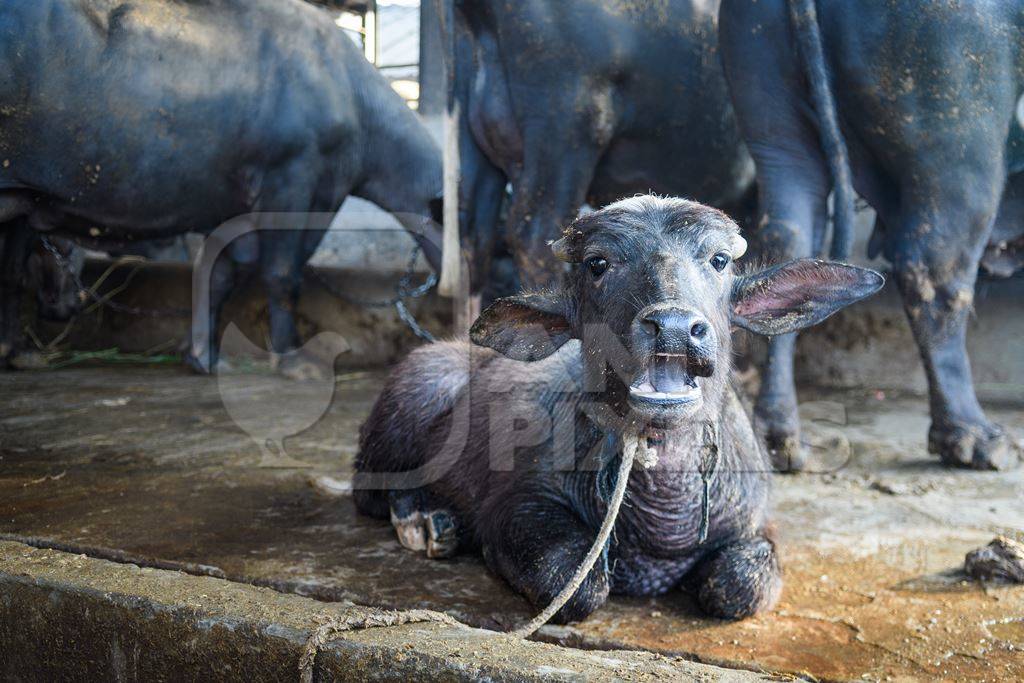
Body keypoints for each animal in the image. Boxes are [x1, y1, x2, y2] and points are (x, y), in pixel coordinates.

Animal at [0, 0, 440, 374]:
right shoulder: (295, 180)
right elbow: (282, 273)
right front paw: (292, 359)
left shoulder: (238, 208)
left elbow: (217, 274)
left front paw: (202, 357)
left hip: (20, 198)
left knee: (11, 272)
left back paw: (16, 352)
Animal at [720, 0, 1024, 471]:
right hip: (958, 142)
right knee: (935, 272)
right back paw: (975, 438)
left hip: (776, 129)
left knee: (787, 239)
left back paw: (782, 440)